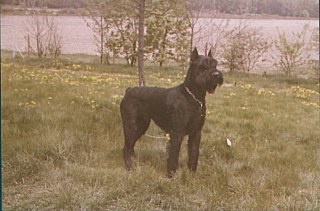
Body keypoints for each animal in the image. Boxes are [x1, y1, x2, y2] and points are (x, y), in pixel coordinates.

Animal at [119, 48, 222, 177]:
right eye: (202, 67)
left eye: (215, 65)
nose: (216, 74)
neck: (193, 97)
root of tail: (128, 91)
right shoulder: (177, 132)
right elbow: (174, 155)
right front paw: (170, 176)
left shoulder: (196, 132)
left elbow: (194, 153)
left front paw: (192, 174)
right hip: (131, 125)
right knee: (126, 147)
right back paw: (129, 167)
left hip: (142, 126)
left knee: (130, 144)